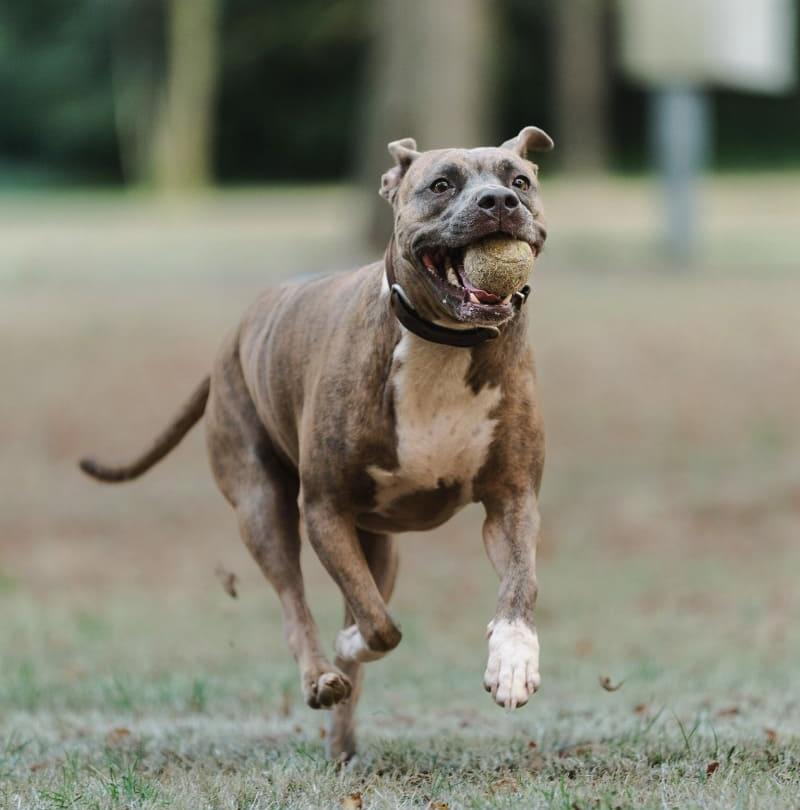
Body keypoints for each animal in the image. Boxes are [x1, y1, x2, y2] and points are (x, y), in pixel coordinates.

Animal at [83, 126, 556, 756]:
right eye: (441, 184)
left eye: (519, 181)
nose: (498, 202)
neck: (444, 346)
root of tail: (235, 331)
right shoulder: (324, 509)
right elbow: (378, 625)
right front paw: (350, 643)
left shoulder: (511, 500)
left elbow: (519, 584)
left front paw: (512, 661)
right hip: (262, 505)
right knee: (294, 604)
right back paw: (321, 675)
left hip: (379, 543)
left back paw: (343, 743)